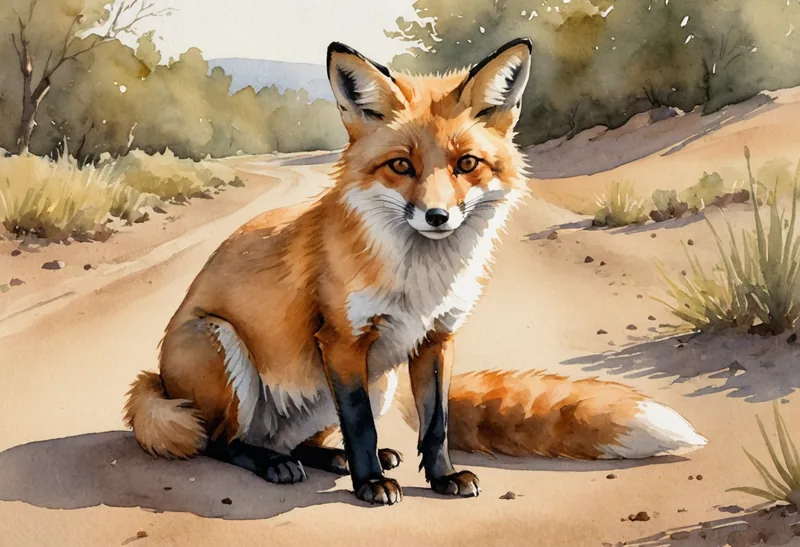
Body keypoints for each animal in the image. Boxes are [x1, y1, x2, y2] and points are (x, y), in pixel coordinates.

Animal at [124, 38, 707, 506]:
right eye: (401, 165)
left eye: (467, 164)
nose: (437, 217)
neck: (421, 282)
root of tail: (157, 378)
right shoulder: (341, 341)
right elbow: (358, 424)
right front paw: (369, 485)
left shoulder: (438, 336)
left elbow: (437, 423)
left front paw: (443, 477)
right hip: (222, 345)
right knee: (222, 441)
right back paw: (280, 465)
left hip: (375, 382)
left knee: (300, 440)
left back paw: (329, 459)